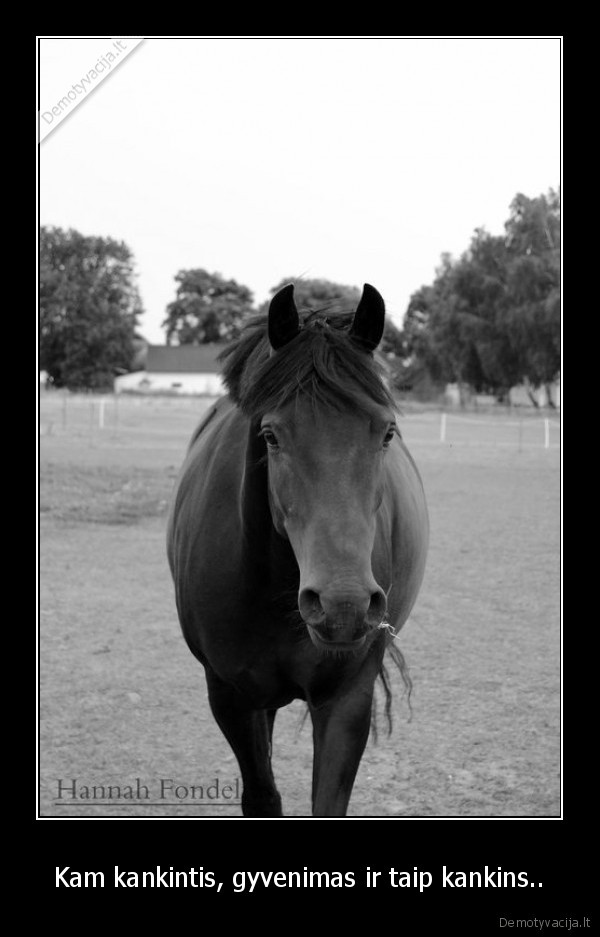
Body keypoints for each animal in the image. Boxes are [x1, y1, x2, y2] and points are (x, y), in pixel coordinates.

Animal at [166, 282, 428, 816]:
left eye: (387, 431)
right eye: (270, 435)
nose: (344, 606)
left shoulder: (347, 698)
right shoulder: (229, 697)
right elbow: (262, 795)